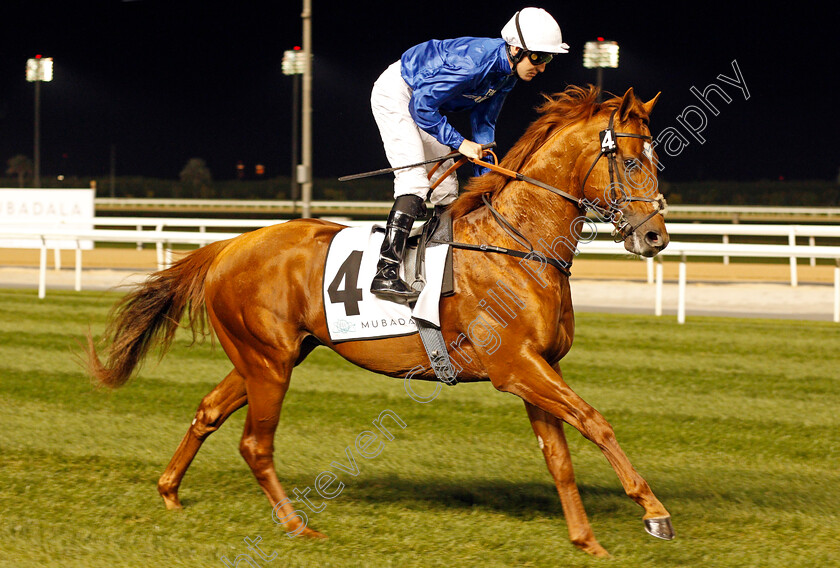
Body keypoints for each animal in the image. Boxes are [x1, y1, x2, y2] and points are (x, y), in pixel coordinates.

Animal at [85, 86, 672, 556]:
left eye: (657, 160)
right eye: (632, 163)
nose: (655, 237)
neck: (518, 244)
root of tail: (230, 246)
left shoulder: (538, 366)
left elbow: (559, 457)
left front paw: (586, 540)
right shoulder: (516, 366)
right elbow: (595, 421)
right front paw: (654, 512)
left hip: (266, 356)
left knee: (209, 411)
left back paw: (170, 491)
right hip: (269, 362)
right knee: (255, 443)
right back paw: (297, 526)